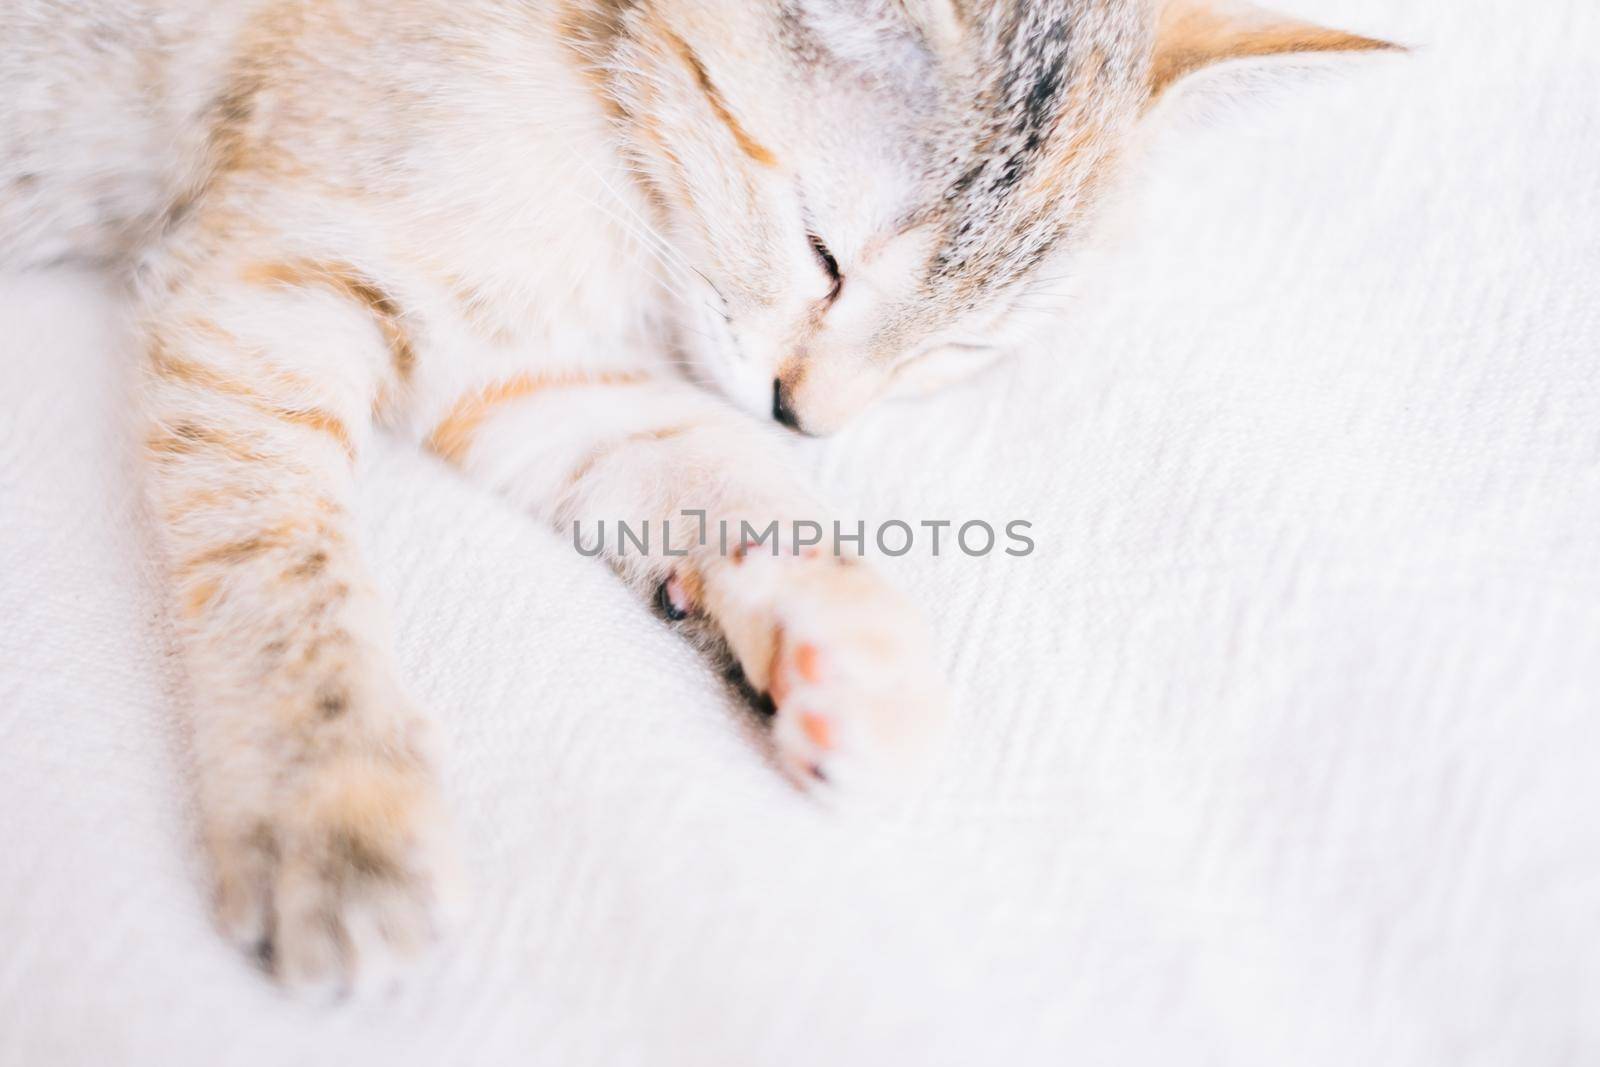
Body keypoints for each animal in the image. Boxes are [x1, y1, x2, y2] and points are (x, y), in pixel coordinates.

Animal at [0, 0, 1395, 991]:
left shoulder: (531, 377)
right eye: (824, 256)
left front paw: (848, 643)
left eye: (960, 347)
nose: (810, 412)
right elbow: (285, 574)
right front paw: (333, 804)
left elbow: (710, 460)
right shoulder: (261, 289)